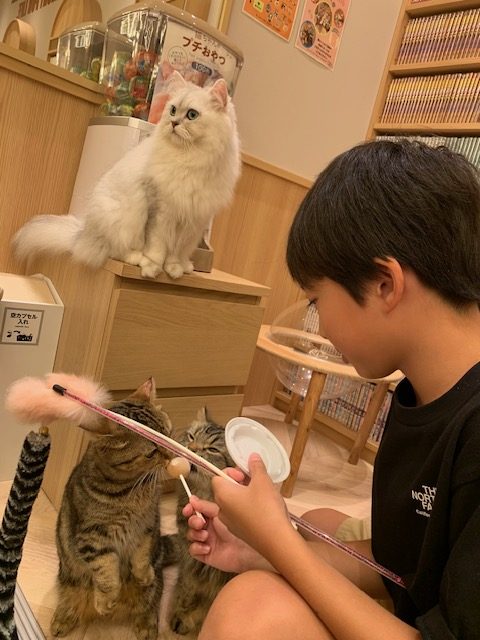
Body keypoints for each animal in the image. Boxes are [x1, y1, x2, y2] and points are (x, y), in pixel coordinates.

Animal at [12, 71, 241, 280]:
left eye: (192, 115)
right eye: (173, 110)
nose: (174, 123)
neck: (190, 159)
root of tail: (82, 235)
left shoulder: (193, 221)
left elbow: (176, 252)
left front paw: (174, 269)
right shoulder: (160, 210)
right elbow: (157, 246)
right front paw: (153, 268)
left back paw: (186, 267)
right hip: (122, 218)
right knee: (114, 252)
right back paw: (137, 258)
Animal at [51, 378, 174, 640]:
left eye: (169, 436)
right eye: (152, 452)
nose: (171, 456)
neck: (131, 490)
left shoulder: (147, 525)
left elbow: (140, 556)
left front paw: (143, 574)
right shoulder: (93, 537)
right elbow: (107, 572)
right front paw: (107, 600)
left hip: (153, 586)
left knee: (151, 602)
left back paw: (146, 625)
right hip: (69, 579)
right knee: (72, 600)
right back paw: (63, 619)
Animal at [168, 407, 235, 637]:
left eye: (212, 449)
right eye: (190, 437)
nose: (191, 449)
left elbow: (207, 606)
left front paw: (188, 619)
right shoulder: (189, 561)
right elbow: (187, 592)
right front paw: (180, 614)